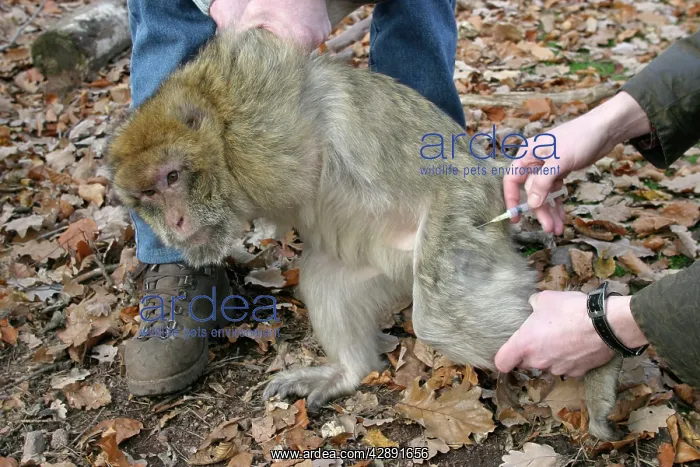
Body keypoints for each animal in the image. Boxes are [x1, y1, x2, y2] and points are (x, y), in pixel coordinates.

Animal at [106, 28, 623, 441]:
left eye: (173, 177)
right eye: (148, 194)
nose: (175, 222)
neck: (219, 130)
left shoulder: (263, 131)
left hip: (462, 209)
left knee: (442, 315)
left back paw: (593, 356)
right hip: (386, 265)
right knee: (324, 277)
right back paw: (349, 374)